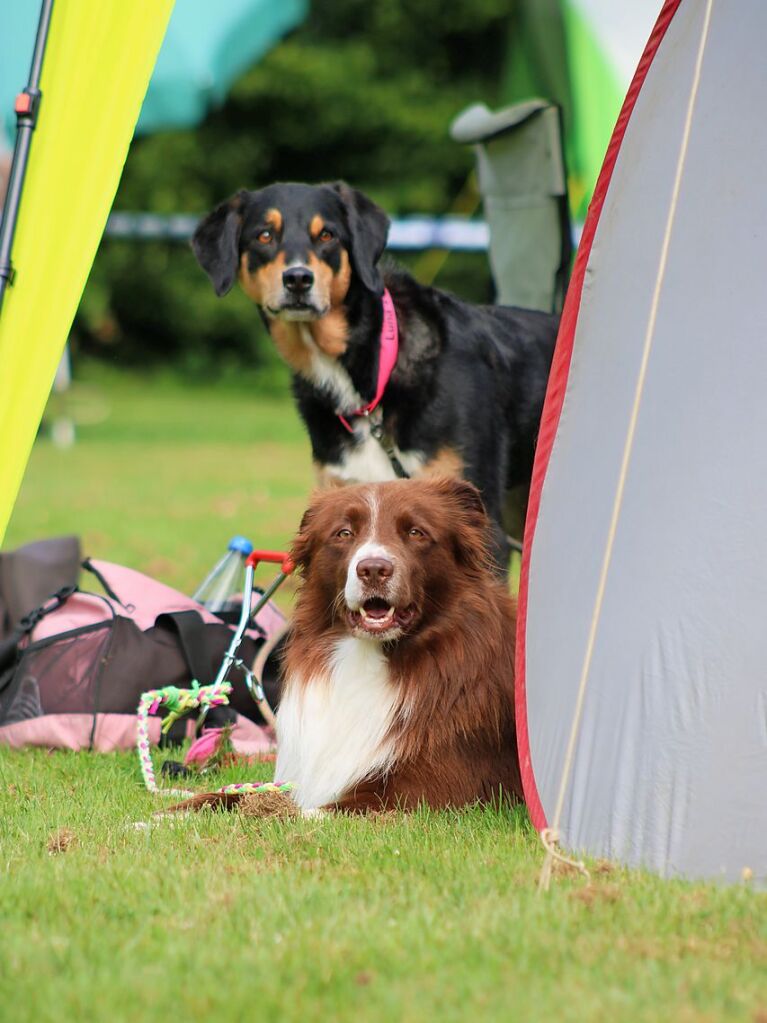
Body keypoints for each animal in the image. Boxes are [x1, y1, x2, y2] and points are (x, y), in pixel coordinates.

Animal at [276, 474, 523, 810]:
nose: (373, 569)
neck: (371, 654)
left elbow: (301, 813)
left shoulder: (424, 790)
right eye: (344, 533)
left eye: (416, 532)